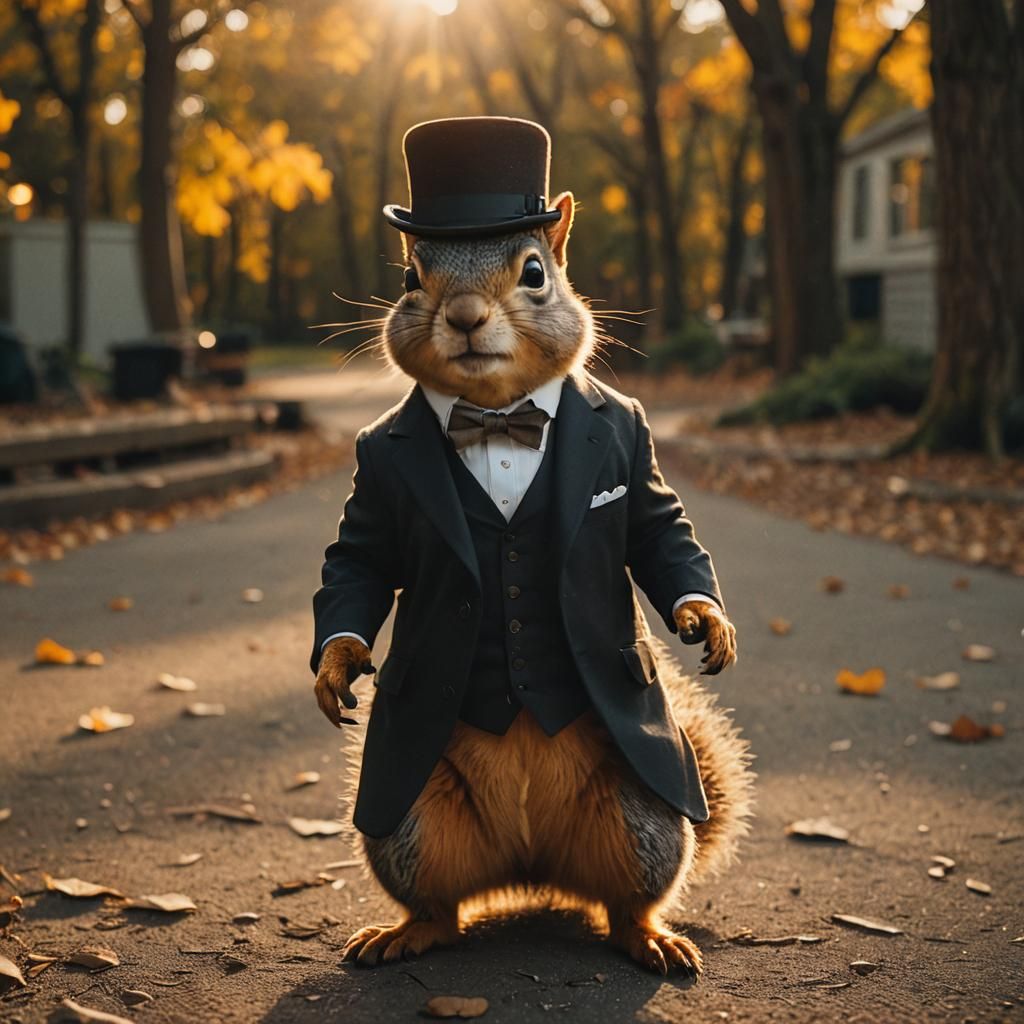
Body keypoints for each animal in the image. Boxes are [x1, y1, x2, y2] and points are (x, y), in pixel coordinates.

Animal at [312, 117, 753, 976]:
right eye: (411, 276)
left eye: (536, 273)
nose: (465, 315)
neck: (497, 413)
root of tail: (532, 870)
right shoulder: (373, 486)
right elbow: (357, 564)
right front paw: (336, 664)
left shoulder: (635, 463)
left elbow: (661, 532)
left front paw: (704, 618)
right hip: (411, 823)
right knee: (441, 906)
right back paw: (405, 932)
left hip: (642, 820)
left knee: (624, 901)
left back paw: (647, 937)